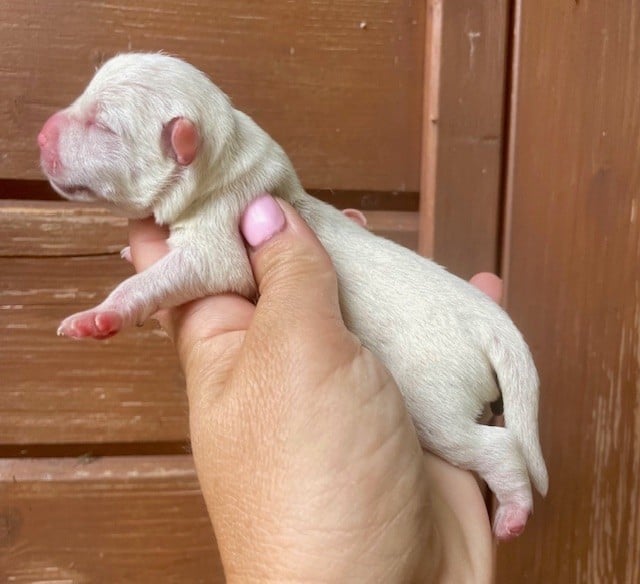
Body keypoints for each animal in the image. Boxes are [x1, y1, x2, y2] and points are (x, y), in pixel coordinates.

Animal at [38, 53, 552, 540]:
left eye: (104, 126)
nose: (41, 135)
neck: (227, 159)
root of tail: (494, 323)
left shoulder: (221, 232)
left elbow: (197, 267)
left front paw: (102, 313)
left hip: (435, 401)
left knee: (495, 447)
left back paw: (513, 513)